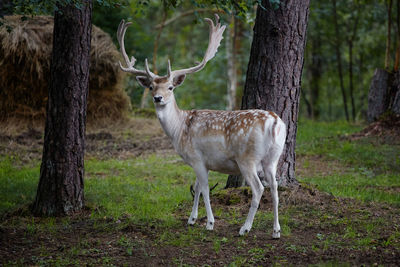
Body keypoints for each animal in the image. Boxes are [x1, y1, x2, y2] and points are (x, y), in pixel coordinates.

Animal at [117, 14, 286, 239]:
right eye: (151, 86)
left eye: (170, 87)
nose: (157, 98)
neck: (179, 129)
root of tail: (274, 121)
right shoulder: (202, 162)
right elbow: (196, 187)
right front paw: (191, 219)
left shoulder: (197, 157)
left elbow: (204, 188)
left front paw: (209, 222)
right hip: (273, 157)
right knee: (275, 187)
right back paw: (276, 230)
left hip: (247, 158)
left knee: (259, 189)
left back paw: (244, 228)